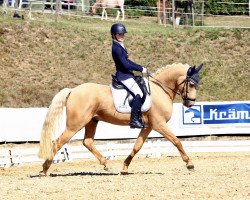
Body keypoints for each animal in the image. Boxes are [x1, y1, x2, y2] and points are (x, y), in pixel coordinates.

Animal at [38, 62, 203, 175]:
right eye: (191, 84)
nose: (190, 103)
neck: (160, 90)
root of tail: (73, 90)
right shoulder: (159, 124)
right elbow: (176, 141)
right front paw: (189, 163)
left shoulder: (149, 126)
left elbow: (137, 146)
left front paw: (124, 167)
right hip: (75, 124)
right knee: (58, 142)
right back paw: (44, 169)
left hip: (92, 121)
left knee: (87, 142)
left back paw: (105, 163)